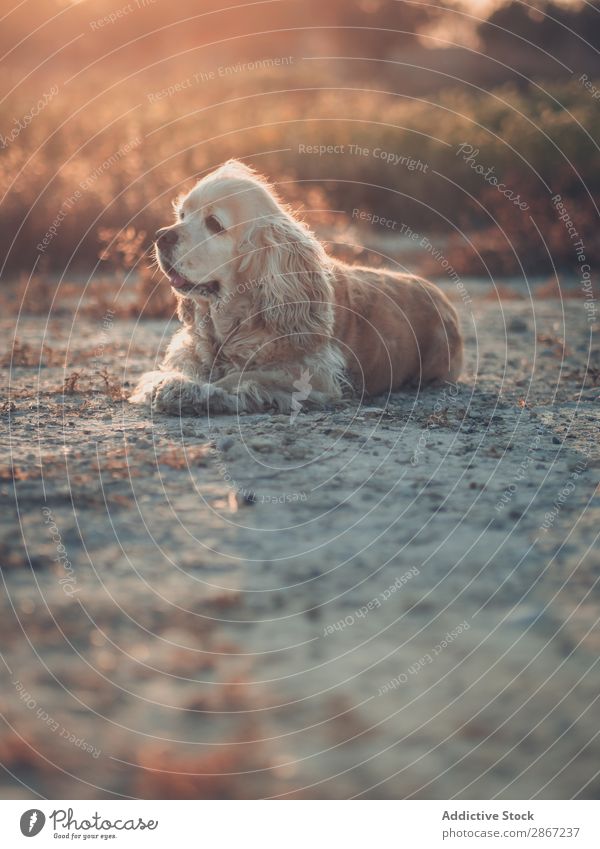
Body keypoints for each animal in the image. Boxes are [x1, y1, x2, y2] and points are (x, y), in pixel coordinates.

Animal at [129, 159, 462, 414]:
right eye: (182, 215)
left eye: (214, 224)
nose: (160, 236)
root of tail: (440, 295)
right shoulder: (192, 349)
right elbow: (181, 367)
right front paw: (170, 383)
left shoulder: (315, 372)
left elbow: (242, 377)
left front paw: (195, 392)